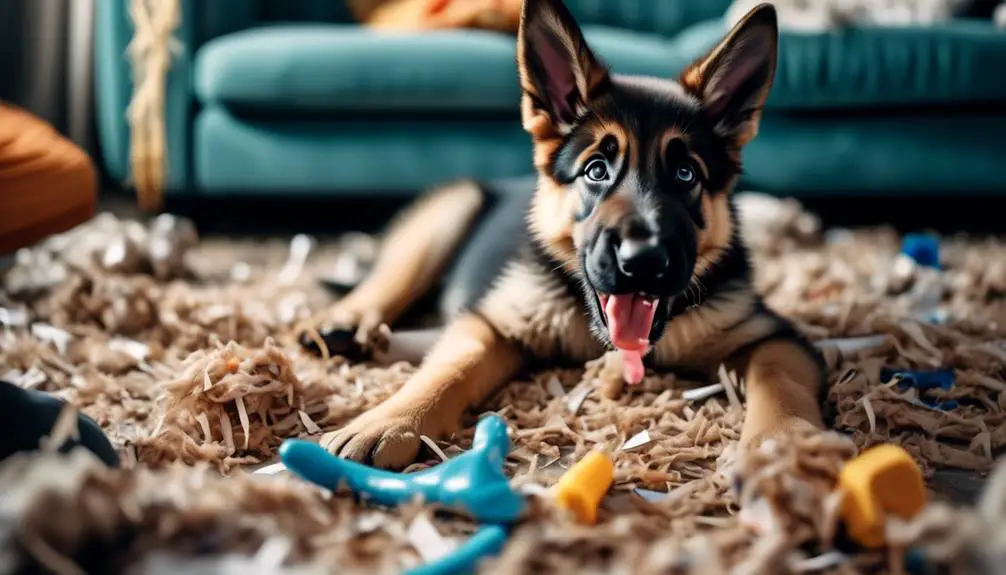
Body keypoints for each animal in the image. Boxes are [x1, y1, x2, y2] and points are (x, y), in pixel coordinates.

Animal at [303, 0, 824, 468]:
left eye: (685, 175)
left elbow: (780, 379)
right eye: (596, 170)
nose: (644, 261)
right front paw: (389, 420)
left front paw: (785, 446)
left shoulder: (774, 338)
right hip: (449, 212)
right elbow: (451, 366)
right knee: (386, 280)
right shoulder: (491, 322)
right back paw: (343, 323)